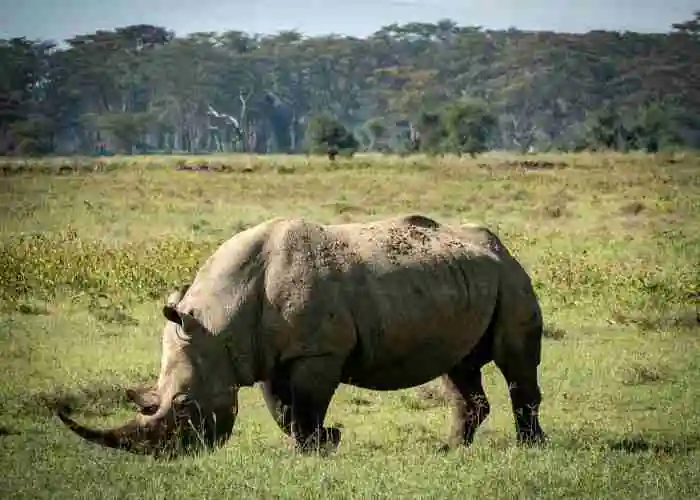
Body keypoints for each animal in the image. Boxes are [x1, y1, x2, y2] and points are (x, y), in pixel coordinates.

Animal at [56, 214, 546, 457]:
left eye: (184, 405)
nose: (173, 455)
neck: (218, 323)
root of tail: (501, 246)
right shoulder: (265, 355)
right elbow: (283, 409)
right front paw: (317, 444)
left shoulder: (319, 352)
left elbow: (307, 405)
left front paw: (315, 448)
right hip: (463, 280)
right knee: (457, 366)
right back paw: (450, 451)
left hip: (510, 277)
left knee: (513, 363)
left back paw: (529, 449)